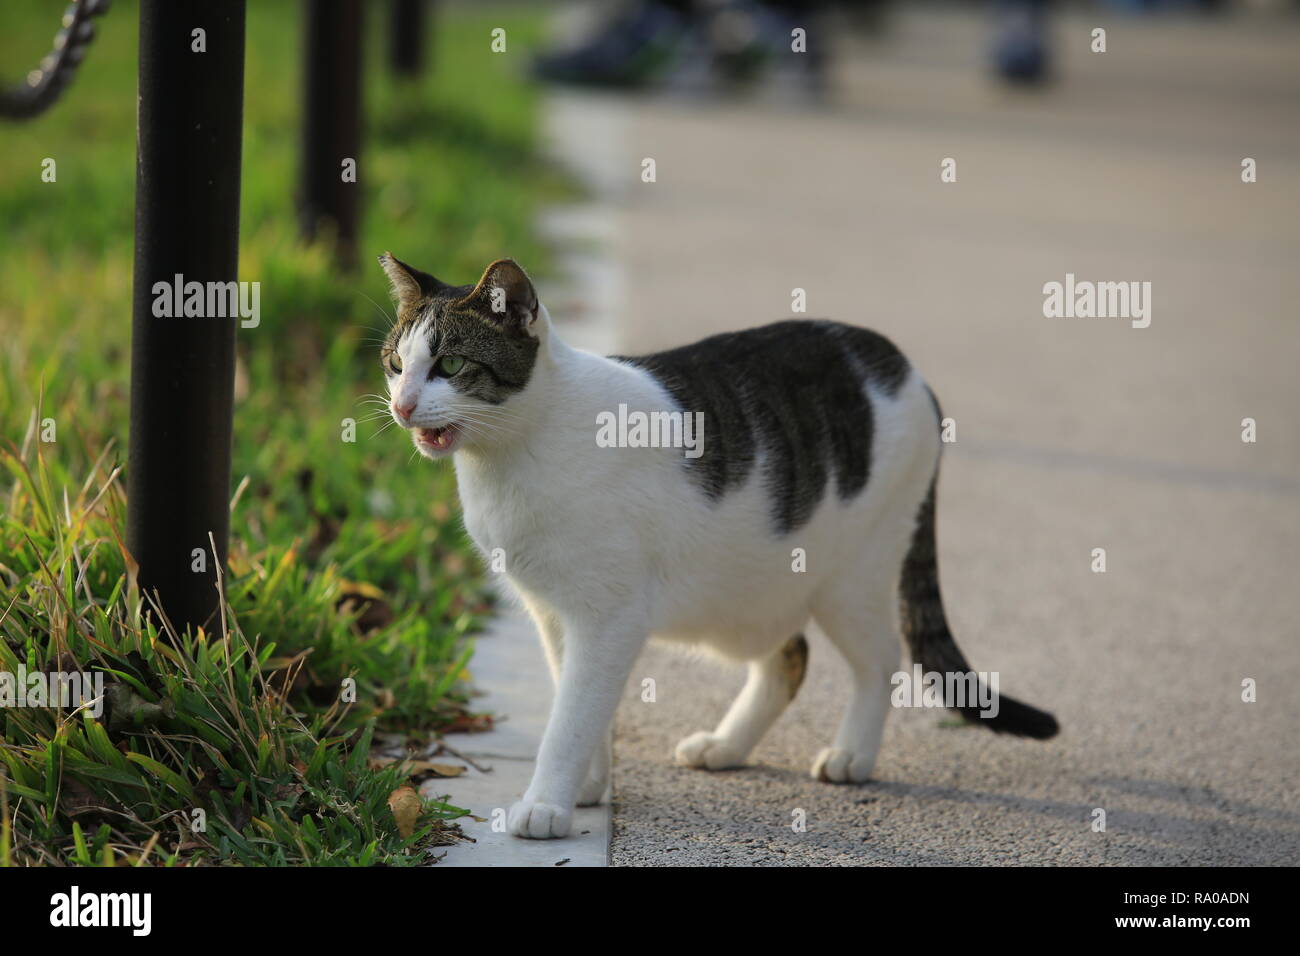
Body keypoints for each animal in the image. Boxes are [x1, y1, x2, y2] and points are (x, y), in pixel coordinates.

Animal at [377, 252, 1055, 837]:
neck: (510, 456)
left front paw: (546, 804)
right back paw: (728, 745)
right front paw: (586, 787)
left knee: (881, 656)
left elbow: (570, 717)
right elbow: (579, 704)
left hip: (852, 575)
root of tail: (902, 365)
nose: (402, 406)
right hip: (754, 586)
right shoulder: (552, 614)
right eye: (395, 364)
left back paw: (851, 754)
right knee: (789, 657)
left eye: (451, 366)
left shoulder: (608, 617)